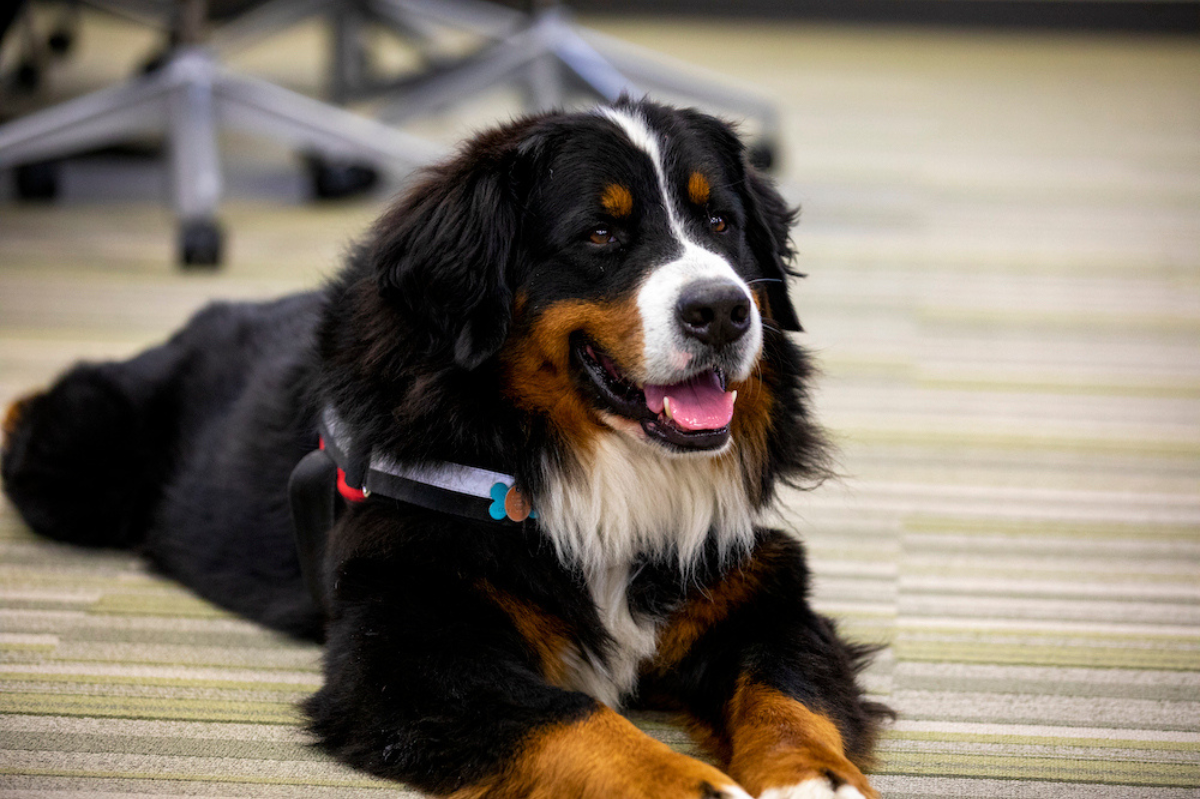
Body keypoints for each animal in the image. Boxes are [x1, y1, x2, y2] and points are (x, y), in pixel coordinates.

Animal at [0, 97, 888, 796]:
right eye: (601, 233)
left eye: (720, 223)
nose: (722, 311)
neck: (584, 465)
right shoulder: (410, 647)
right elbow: (576, 718)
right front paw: (693, 785)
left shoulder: (754, 588)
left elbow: (786, 694)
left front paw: (819, 779)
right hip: (76, 460)